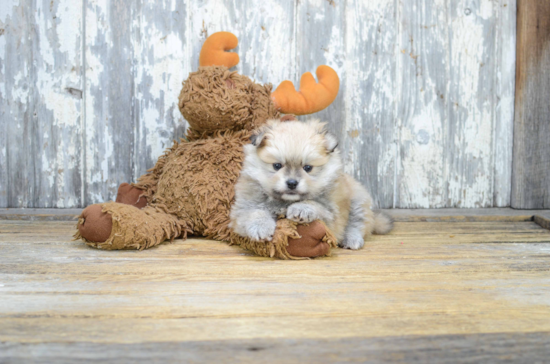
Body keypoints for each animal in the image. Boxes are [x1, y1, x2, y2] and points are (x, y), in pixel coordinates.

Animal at [231, 118, 394, 249]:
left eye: (307, 168)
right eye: (277, 166)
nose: (292, 183)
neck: (285, 202)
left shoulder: (331, 215)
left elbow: (315, 204)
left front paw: (301, 209)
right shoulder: (242, 208)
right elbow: (254, 212)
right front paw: (260, 227)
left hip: (357, 201)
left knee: (358, 223)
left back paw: (352, 239)